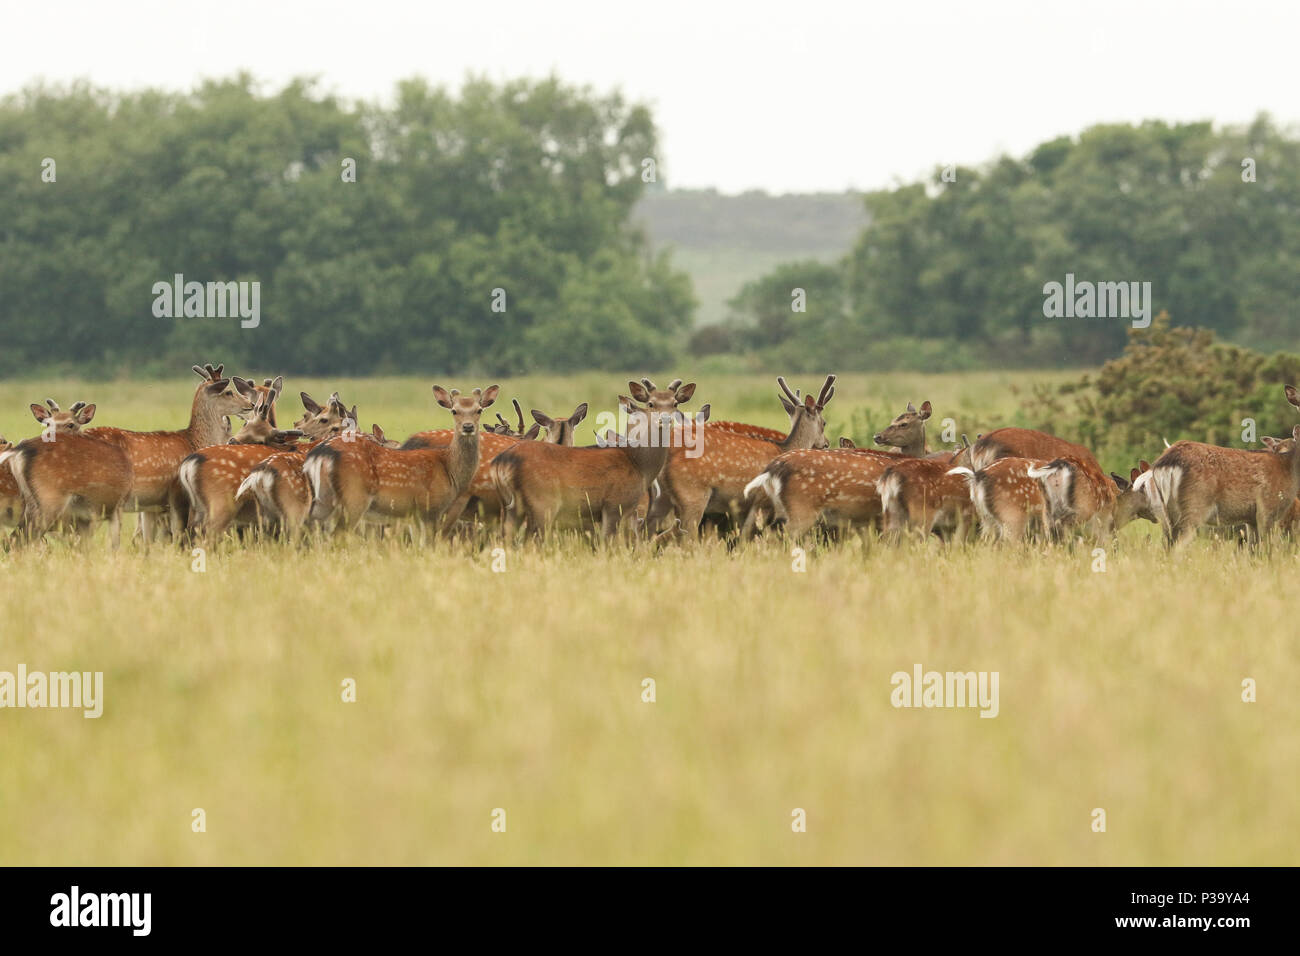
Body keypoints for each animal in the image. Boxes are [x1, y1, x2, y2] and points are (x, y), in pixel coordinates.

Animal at [82, 363, 256, 544]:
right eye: (228, 391)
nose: (251, 403)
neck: (193, 441)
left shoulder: (150, 506)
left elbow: (148, 541)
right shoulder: (177, 496)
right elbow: (177, 535)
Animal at [304, 385, 500, 540]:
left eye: (479, 410)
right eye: (454, 410)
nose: (468, 426)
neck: (450, 469)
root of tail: (320, 454)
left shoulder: (413, 516)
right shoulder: (430, 507)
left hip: (321, 501)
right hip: (353, 497)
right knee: (337, 535)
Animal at [491, 379, 696, 542]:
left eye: (675, 403)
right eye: (651, 403)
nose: (666, 419)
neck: (639, 464)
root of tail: (502, 463)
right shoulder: (614, 504)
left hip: (510, 506)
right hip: (543, 502)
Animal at [1146, 385, 1300, 549]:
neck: (1289, 467)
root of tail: (1165, 462)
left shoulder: (1251, 519)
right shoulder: (1267, 509)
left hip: (1167, 515)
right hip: (1193, 507)